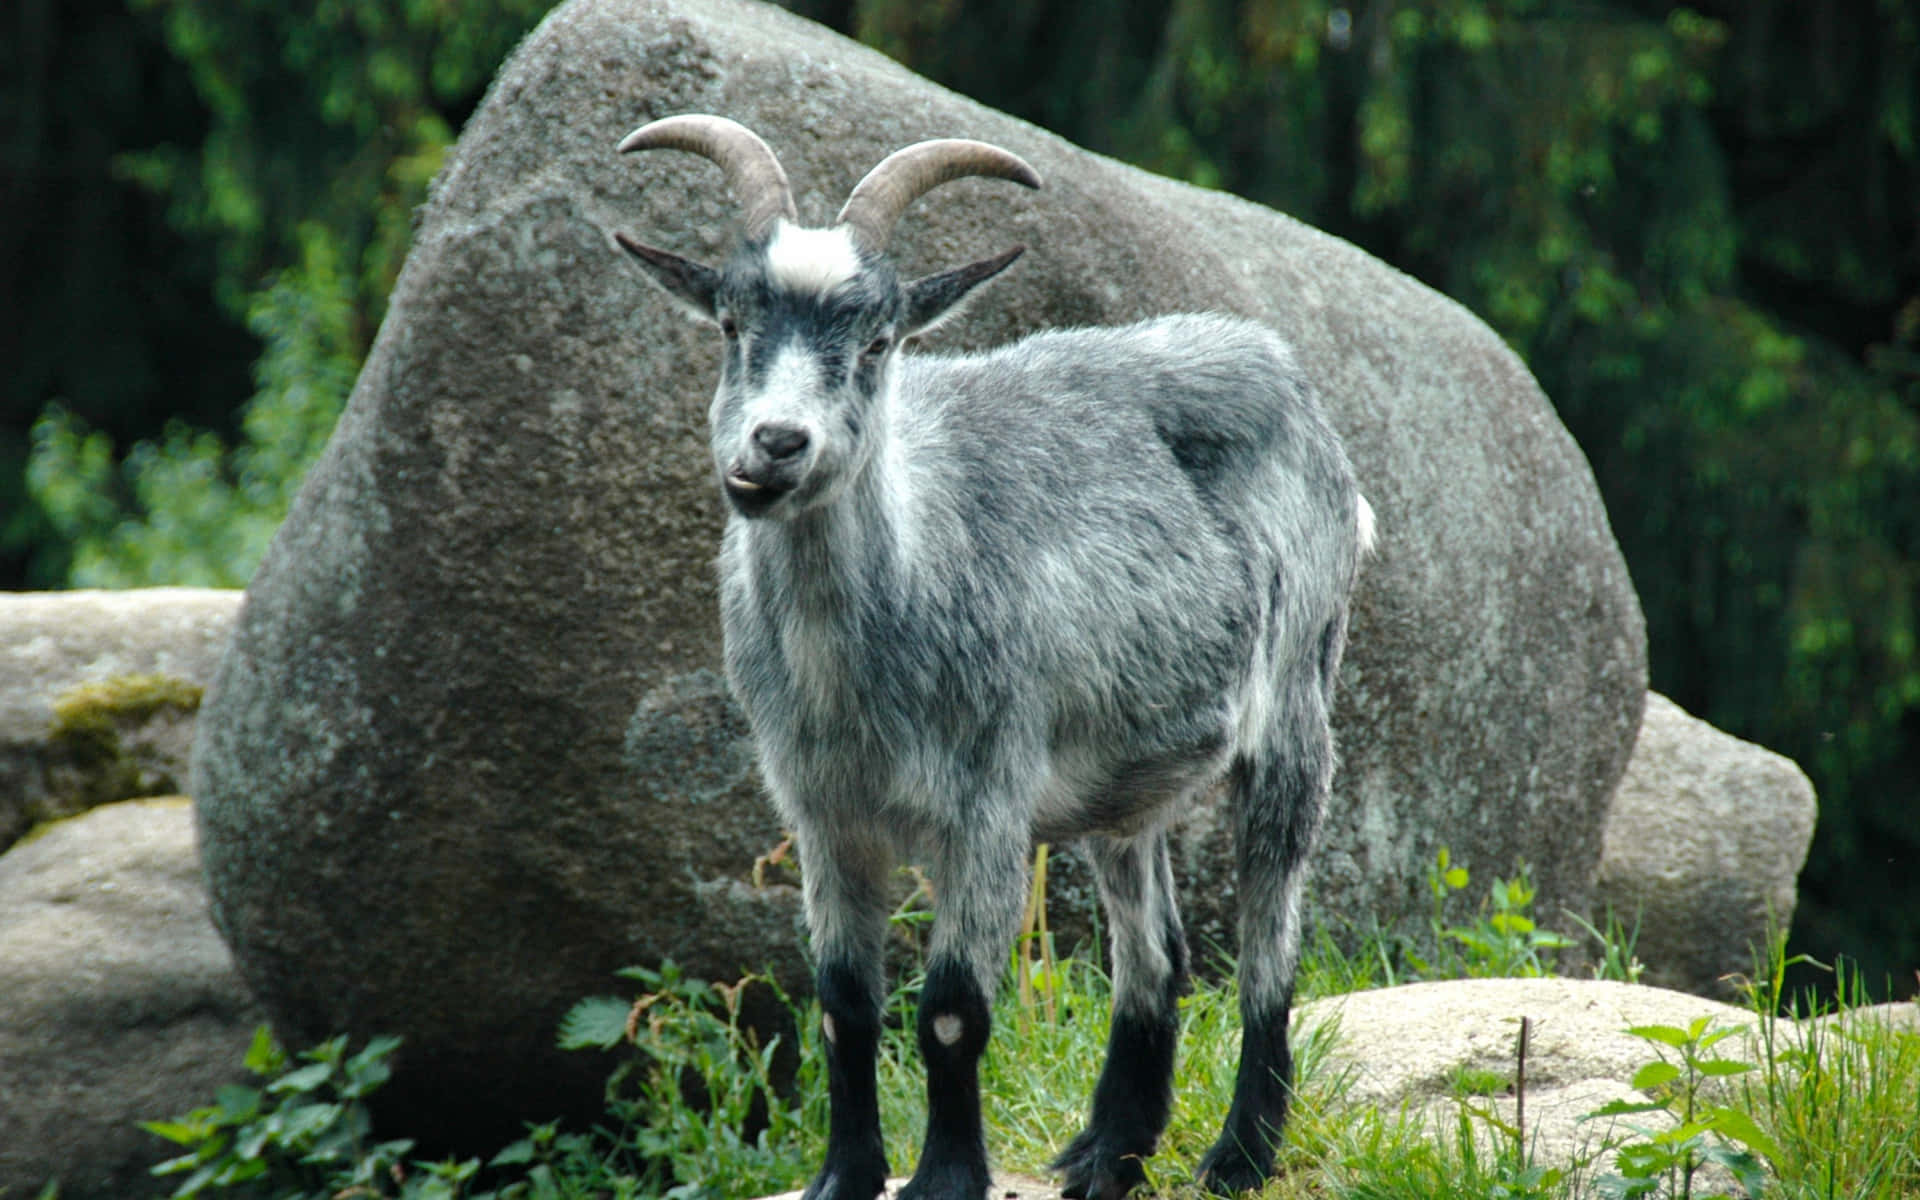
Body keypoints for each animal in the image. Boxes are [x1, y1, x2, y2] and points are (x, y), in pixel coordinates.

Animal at [606, 114, 1374, 1198]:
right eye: (727, 325)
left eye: (878, 342)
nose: (777, 444)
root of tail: (1278, 365)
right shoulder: (824, 815)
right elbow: (844, 1003)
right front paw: (845, 1177)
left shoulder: (986, 805)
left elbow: (949, 1011)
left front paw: (942, 1179)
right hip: (1125, 777)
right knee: (1157, 952)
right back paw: (1107, 1155)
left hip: (1299, 697)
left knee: (1272, 934)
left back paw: (1238, 1154)